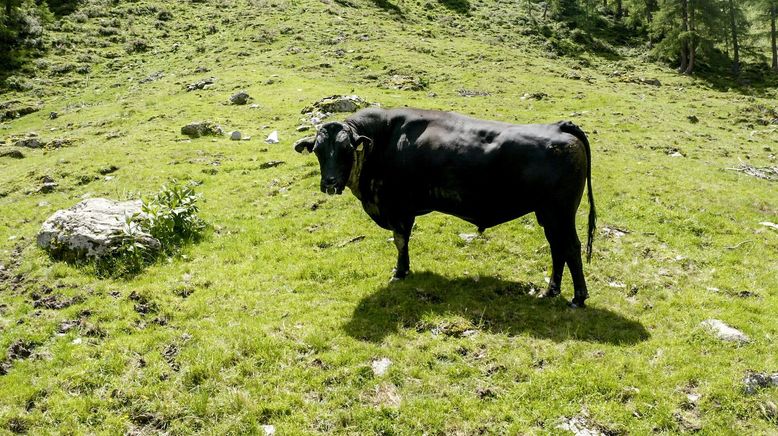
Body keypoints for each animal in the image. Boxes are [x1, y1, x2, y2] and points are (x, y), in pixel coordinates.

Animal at [294, 108, 596, 306]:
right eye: (318, 151)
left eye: (346, 150)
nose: (330, 183)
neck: (382, 142)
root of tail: (559, 126)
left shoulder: (398, 208)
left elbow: (400, 241)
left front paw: (400, 272)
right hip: (547, 214)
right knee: (558, 248)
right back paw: (551, 291)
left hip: (560, 212)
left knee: (570, 247)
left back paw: (578, 298)